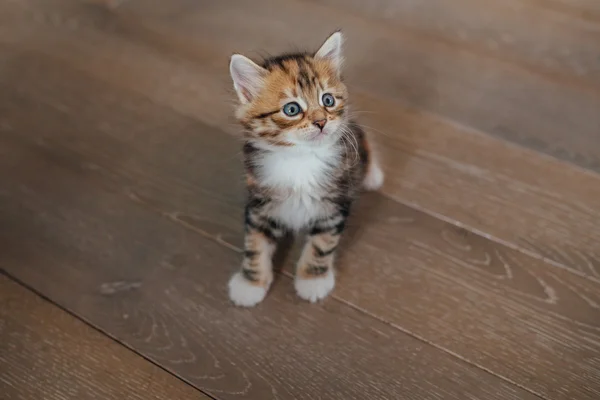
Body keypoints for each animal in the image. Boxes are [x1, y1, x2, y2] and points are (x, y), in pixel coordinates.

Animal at [227, 32, 382, 306]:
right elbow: (255, 244)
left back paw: (373, 175)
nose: (321, 121)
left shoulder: (334, 202)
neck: (300, 158)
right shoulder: (259, 201)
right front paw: (250, 284)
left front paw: (313, 281)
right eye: (292, 109)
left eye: (327, 100)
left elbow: (322, 244)